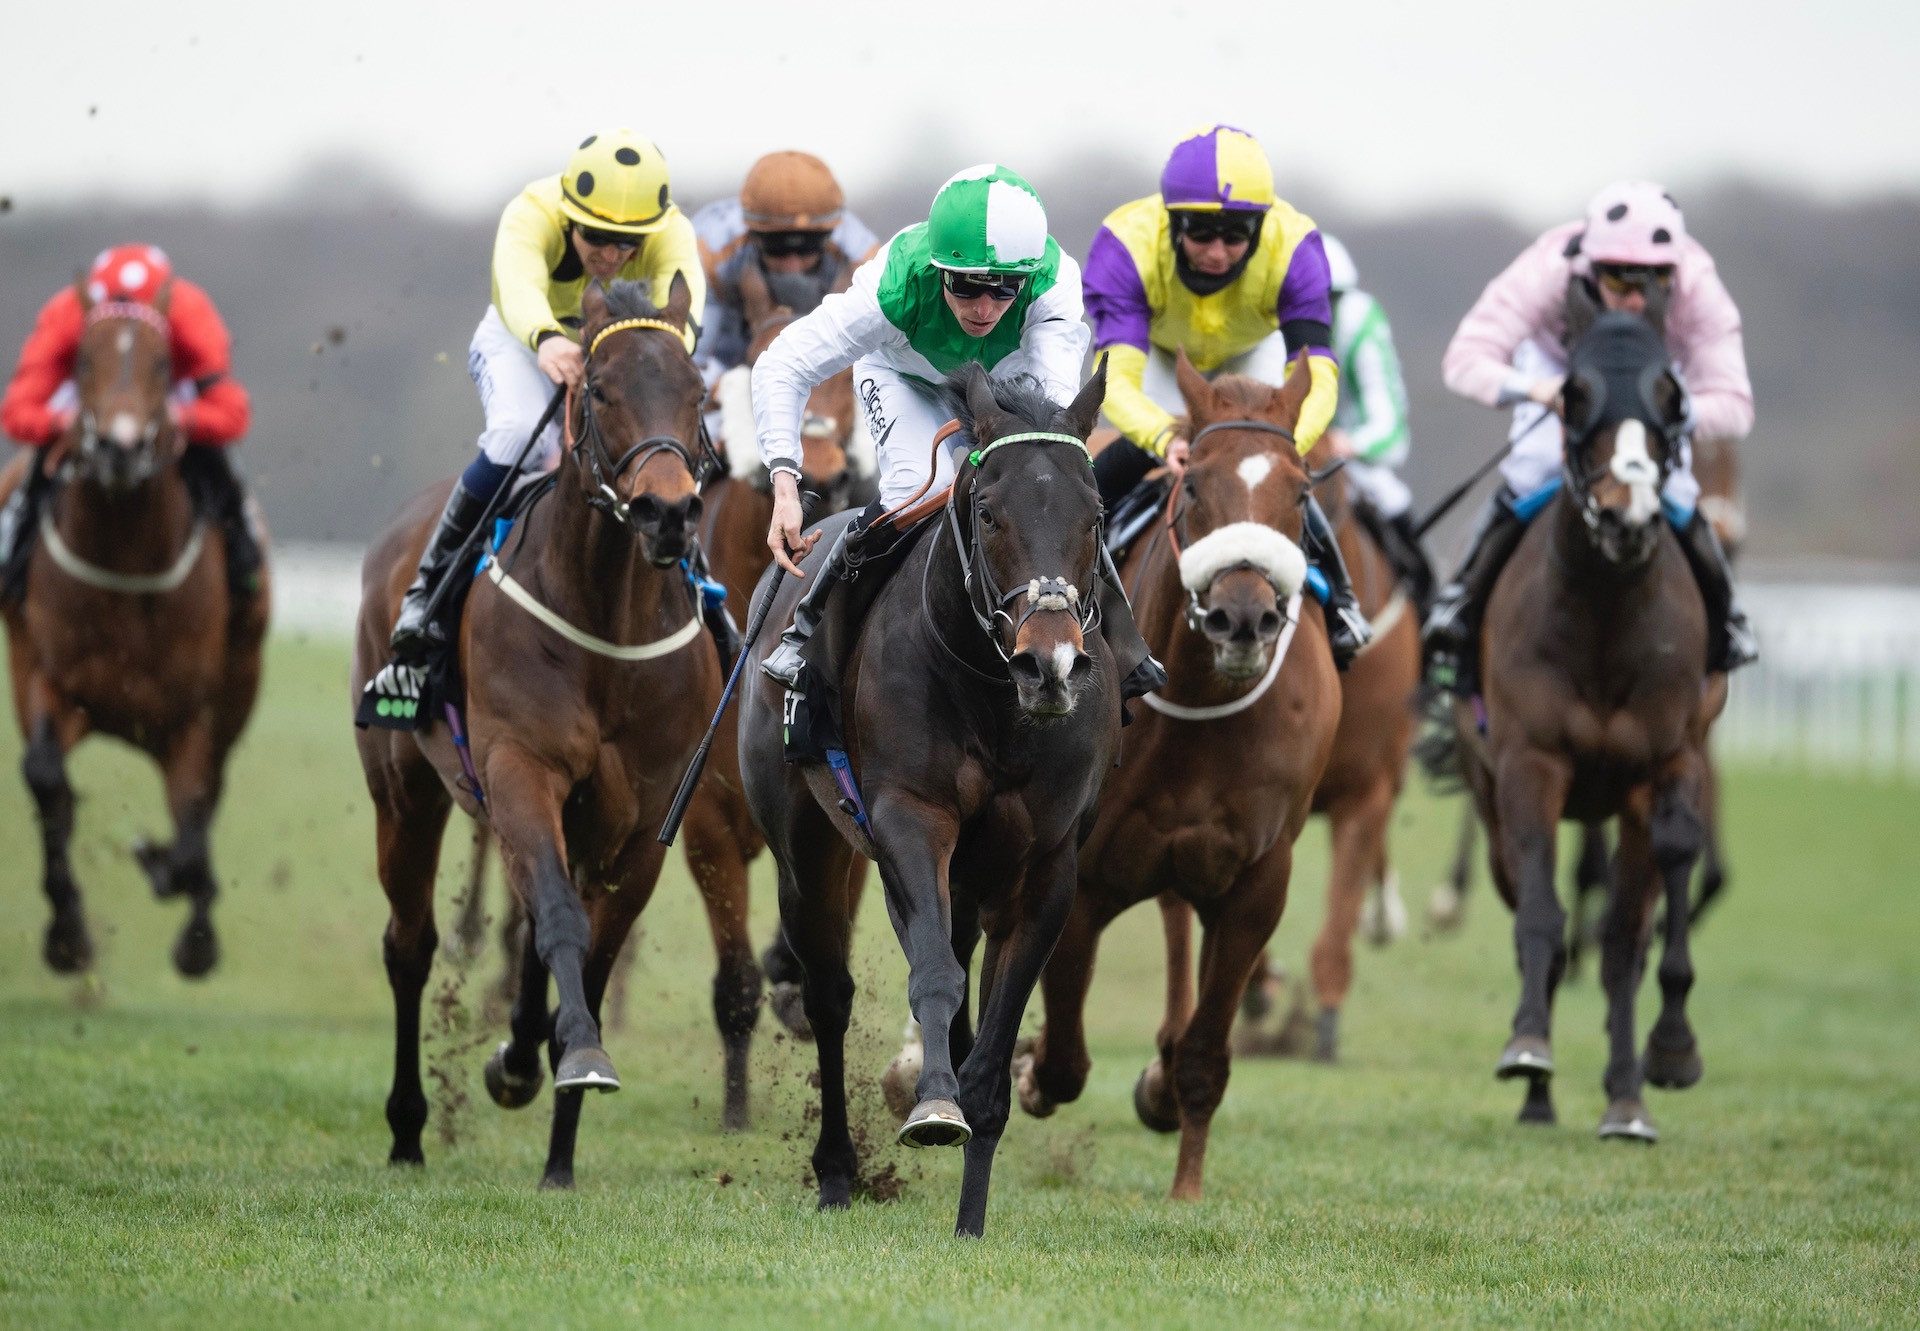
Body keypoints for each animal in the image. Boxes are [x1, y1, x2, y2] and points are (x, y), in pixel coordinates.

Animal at [2, 286, 270, 975]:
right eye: (81, 361)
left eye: (162, 364)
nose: (120, 448)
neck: (124, 558)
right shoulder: (51, 678)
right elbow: (46, 777)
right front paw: (67, 935)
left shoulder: (192, 715)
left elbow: (192, 821)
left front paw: (188, 922)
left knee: (206, 802)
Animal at [353, 278, 721, 1183]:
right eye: (600, 390)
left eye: (698, 393)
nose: (667, 512)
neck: (608, 624)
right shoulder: (521, 768)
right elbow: (556, 917)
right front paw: (572, 1058)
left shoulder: (640, 823)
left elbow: (584, 953)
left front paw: (561, 1143)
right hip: (404, 789)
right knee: (410, 943)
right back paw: (408, 1128)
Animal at [737, 363, 1121, 1236]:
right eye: (988, 512)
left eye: (1094, 515)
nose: (1050, 665)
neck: (994, 700)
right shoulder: (911, 821)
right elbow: (935, 975)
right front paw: (934, 1107)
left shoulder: (1046, 865)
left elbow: (997, 1040)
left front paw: (970, 1218)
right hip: (806, 845)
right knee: (830, 996)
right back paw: (837, 1169)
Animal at [1013, 349, 1344, 1190]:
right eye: (1193, 487)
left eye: (1300, 493)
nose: (1243, 617)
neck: (1199, 702)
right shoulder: (1084, 879)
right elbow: (1063, 1058)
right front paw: (1025, 1068)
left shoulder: (1257, 880)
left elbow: (1203, 1052)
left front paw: (1186, 1178)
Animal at [1451, 305, 1728, 1137]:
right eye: (1574, 397)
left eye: (1670, 399)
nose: (1626, 513)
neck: (1606, 612)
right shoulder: (1530, 763)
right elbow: (1543, 917)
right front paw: (1529, 1047)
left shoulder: (1664, 762)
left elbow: (1632, 935)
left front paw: (1655, 1067)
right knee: (1528, 907)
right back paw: (1538, 1096)